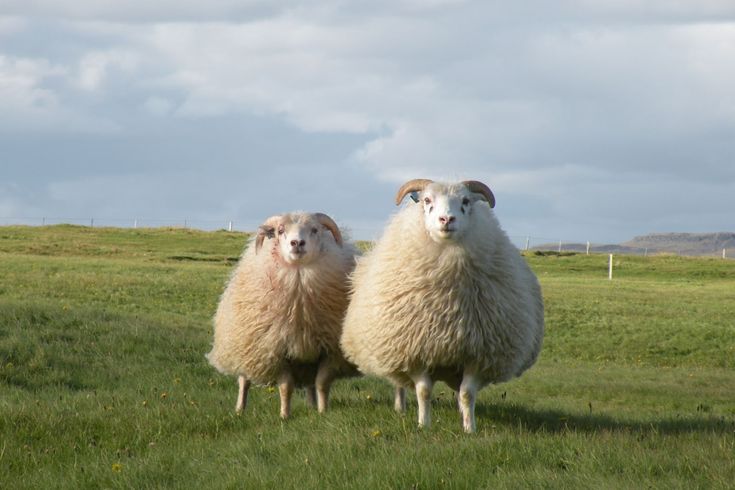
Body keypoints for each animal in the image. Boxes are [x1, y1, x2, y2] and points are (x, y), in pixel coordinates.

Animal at [207, 211, 360, 418]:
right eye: (280, 231)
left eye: (315, 229)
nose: (297, 243)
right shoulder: (275, 351)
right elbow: (286, 387)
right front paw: (284, 416)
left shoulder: (330, 351)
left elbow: (321, 383)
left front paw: (322, 412)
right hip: (246, 348)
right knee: (243, 381)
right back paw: (240, 409)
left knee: (310, 383)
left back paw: (312, 406)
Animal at [342, 180, 544, 432]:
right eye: (427, 200)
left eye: (466, 201)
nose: (447, 219)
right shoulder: (416, 351)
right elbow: (424, 392)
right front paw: (424, 425)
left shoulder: (477, 354)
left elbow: (467, 394)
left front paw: (469, 428)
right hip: (394, 349)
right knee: (400, 384)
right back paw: (401, 408)